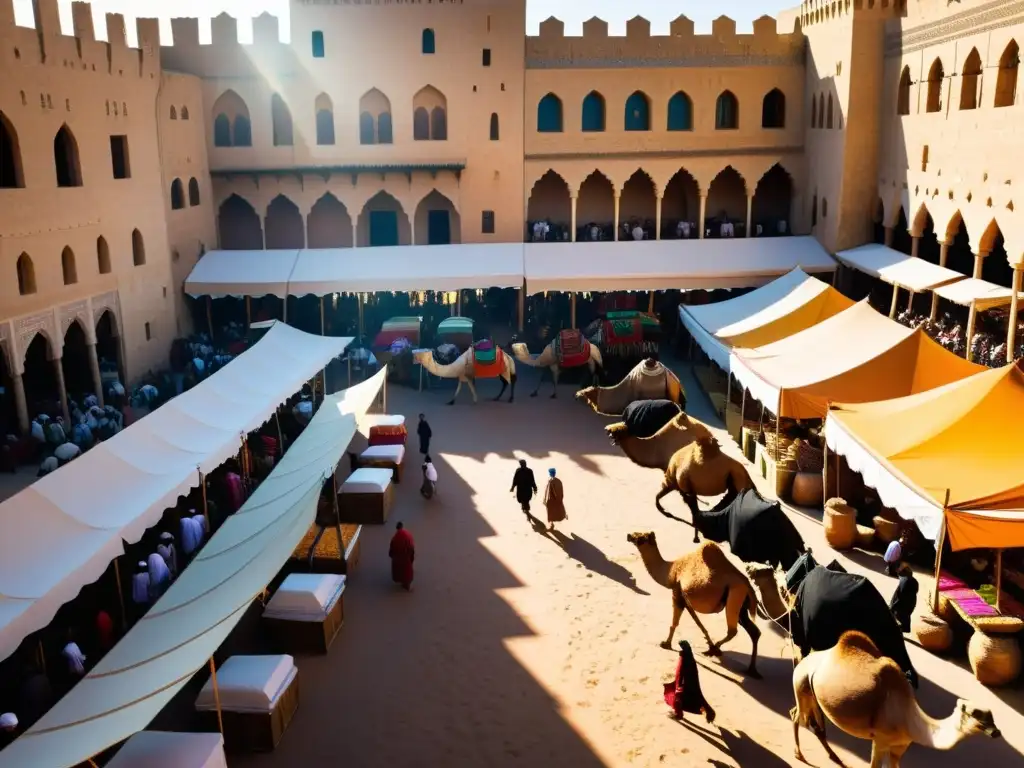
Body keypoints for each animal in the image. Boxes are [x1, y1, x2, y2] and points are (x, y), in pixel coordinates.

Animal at [622, 536, 770, 679]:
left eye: (641, 538)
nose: (629, 536)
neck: (671, 570)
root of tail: (748, 586)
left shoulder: (677, 593)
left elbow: (675, 623)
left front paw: (666, 644)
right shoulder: (685, 598)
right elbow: (698, 623)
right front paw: (708, 642)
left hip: (735, 595)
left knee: (733, 630)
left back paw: (715, 650)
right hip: (741, 606)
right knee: (754, 631)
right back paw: (751, 670)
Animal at [790, 630, 999, 768]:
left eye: (992, 716)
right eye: (974, 713)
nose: (996, 732)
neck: (910, 721)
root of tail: (806, 659)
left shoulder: (900, 746)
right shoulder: (881, 740)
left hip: (811, 691)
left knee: (810, 720)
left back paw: (834, 757)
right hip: (801, 682)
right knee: (797, 715)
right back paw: (799, 754)